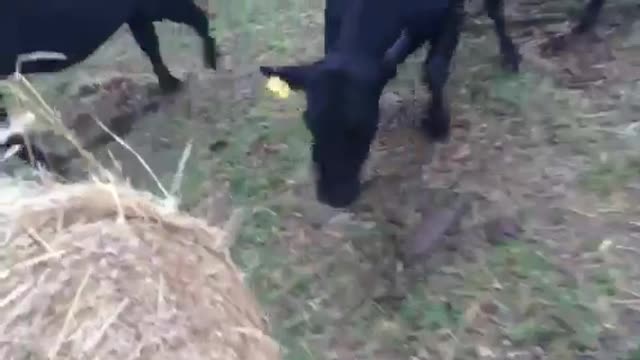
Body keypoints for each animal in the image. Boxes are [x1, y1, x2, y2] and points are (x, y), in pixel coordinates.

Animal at [260, 0, 464, 208]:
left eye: (360, 126)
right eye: (309, 122)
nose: (334, 197)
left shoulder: (452, 13)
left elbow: (435, 69)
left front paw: (438, 124)